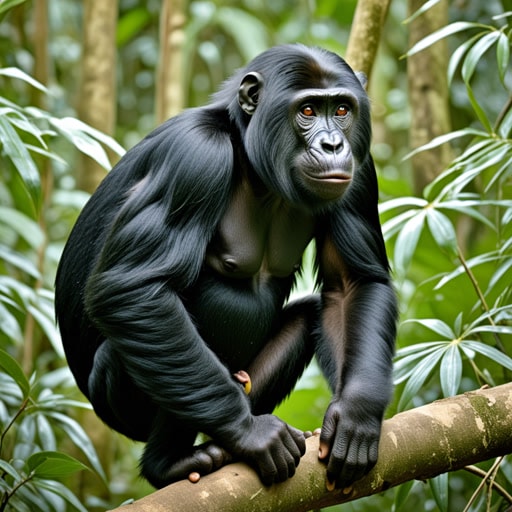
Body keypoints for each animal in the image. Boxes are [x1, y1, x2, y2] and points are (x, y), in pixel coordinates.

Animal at [57, 46, 400, 490]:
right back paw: (172, 461)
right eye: (307, 110)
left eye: (341, 109)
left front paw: (355, 417)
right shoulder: (195, 156)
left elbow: (353, 282)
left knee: (309, 315)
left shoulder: (361, 170)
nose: (332, 144)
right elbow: (132, 288)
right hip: (120, 406)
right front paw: (251, 433)